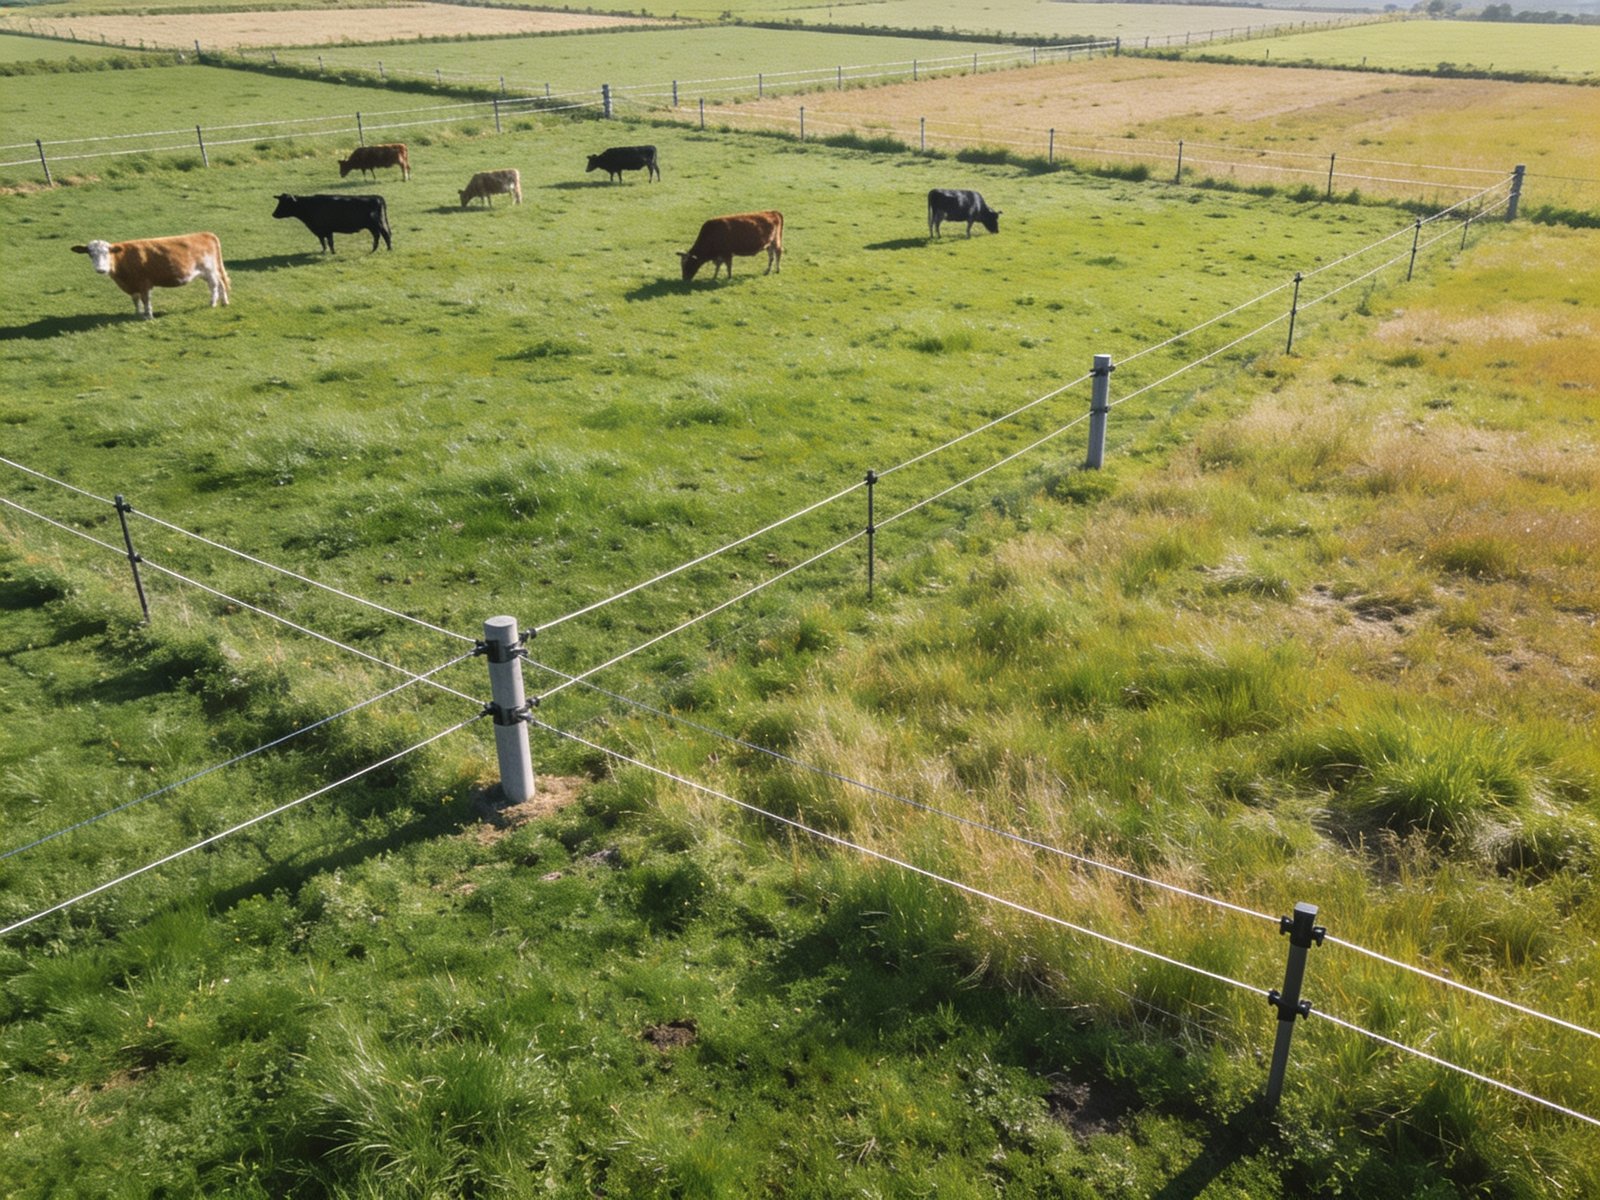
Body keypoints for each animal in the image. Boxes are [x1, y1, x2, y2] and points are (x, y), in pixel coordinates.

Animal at [70, 233, 230, 319]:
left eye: (107, 252)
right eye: (90, 254)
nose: (100, 269)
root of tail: (205, 234)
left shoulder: (144, 283)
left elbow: (146, 300)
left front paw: (148, 316)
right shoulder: (131, 285)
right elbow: (136, 300)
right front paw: (137, 313)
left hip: (209, 270)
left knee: (214, 285)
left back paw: (213, 303)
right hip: (209, 271)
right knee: (221, 283)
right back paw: (224, 302)